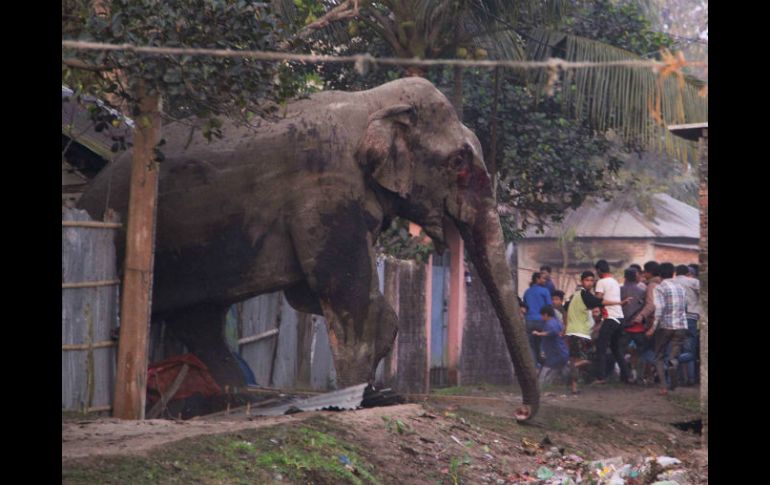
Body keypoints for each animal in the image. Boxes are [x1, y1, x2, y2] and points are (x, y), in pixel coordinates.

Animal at [75, 77, 536, 418]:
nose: (521, 415)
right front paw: (362, 398)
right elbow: (341, 287)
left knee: (201, 320)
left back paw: (245, 400)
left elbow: (312, 294)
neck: (371, 103)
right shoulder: (325, 190)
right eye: (458, 163)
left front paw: (372, 392)